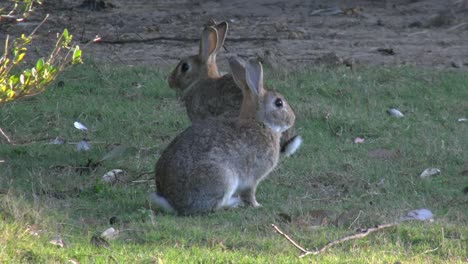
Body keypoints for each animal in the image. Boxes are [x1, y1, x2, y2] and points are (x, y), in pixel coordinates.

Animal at [151, 57, 296, 214]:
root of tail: (171, 201)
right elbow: (249, 193)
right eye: (279, 103)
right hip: (224, 178)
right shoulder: (252, 178)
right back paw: (232, 203)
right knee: (214, 206)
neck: (260, 122)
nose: (292, 119)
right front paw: (257, 205)